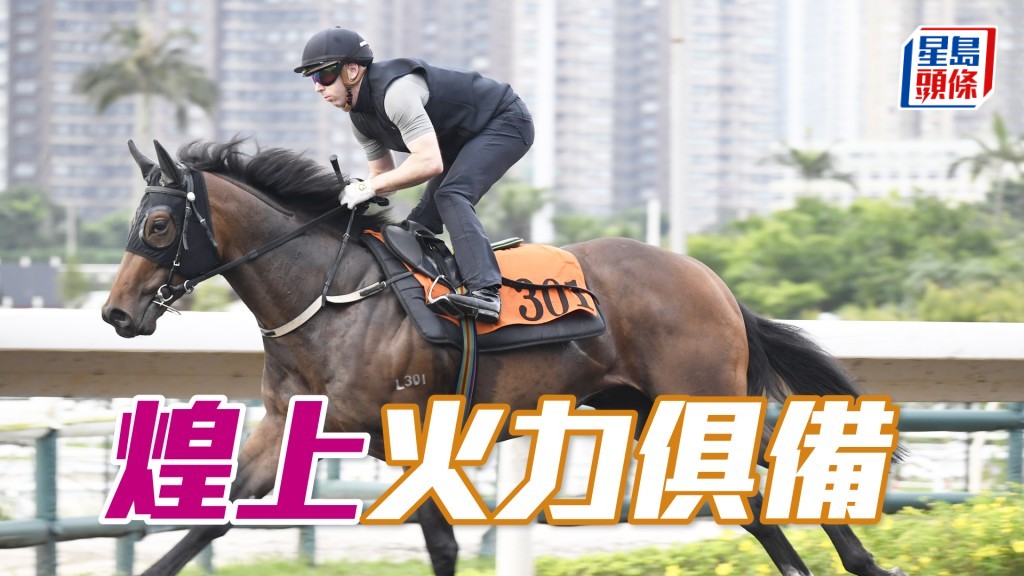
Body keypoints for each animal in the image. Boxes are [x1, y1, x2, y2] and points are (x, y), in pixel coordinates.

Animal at [101, 138, 905, 576]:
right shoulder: (289, 422)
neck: (330, 296)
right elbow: (220, 514)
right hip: (647, 405)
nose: (116, 312)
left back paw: (849, 561)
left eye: (160, 224)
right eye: (138, 221)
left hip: (699, 395)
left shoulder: (407, 431)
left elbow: (442, 542)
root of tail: (710, 278)